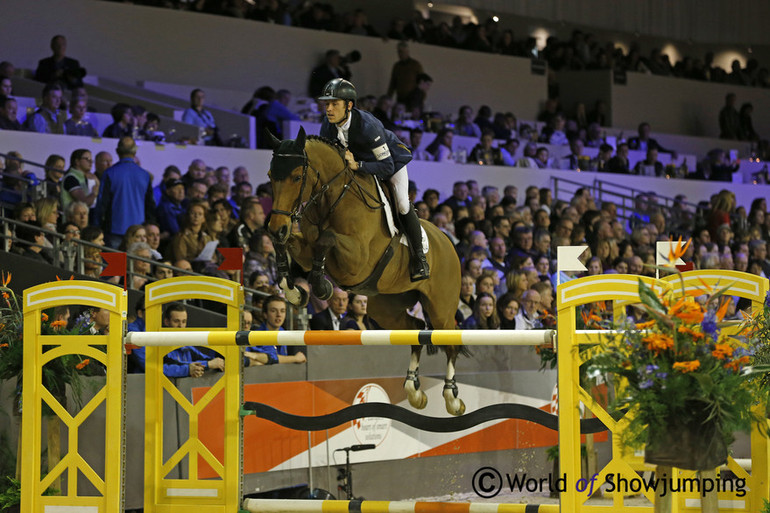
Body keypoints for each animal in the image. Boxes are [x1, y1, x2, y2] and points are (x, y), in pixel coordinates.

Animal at [268, 128, 464, 416]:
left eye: (296, 177)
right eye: (271, 176)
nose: (275, 227)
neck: (332, 198)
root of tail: (448, 242)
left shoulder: (356, 261)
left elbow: (326, 239)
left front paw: (321, 286)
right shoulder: (305, 246)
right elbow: (295, 245)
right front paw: (293, 289)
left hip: (440, 308)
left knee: (449, 340)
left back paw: (451, 398)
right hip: (386, 308)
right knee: (415, 328)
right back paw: (413, 391)